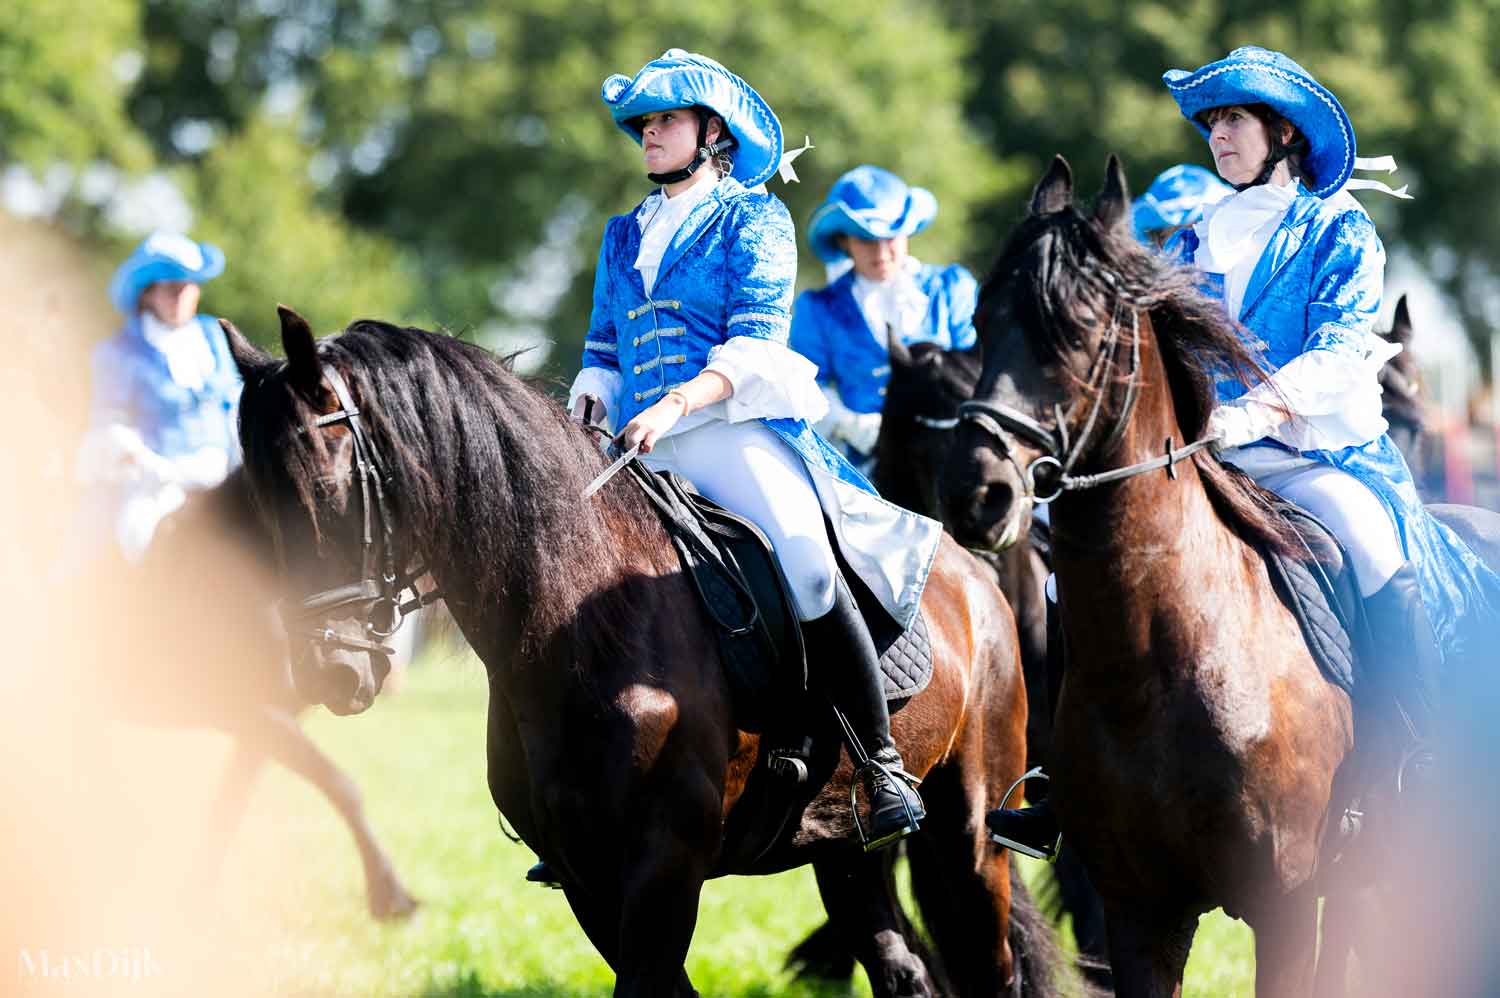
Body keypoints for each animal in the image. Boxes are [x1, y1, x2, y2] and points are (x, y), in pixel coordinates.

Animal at [219, 307, 1068, 996]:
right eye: (257, 498)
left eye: (325, 492)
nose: (332, 670)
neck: (574, 621)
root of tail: (971, 572)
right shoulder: (585, 874)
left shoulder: (664, 865)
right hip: (844, 849)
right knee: (903, 971)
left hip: (968, 838)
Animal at [942, 156, 1500, 996]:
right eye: (981, 322)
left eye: (1080, 329)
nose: (979, 491)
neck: (1165, 660)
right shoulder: (1140, 911)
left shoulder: (1285, 905)